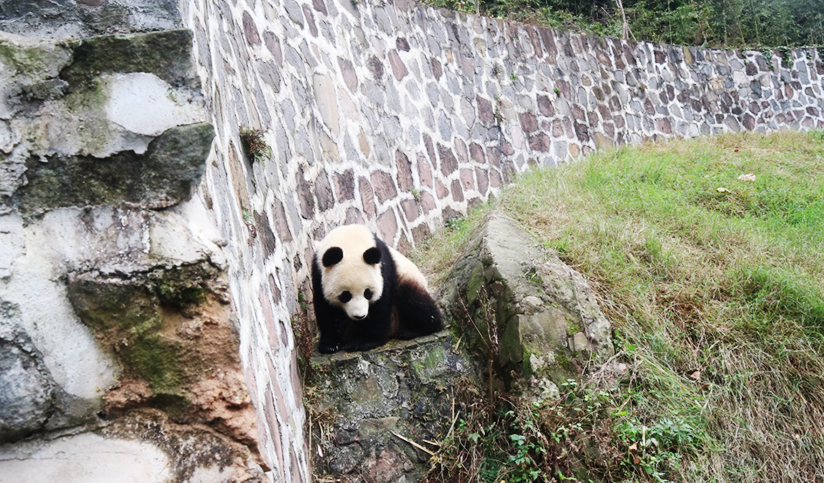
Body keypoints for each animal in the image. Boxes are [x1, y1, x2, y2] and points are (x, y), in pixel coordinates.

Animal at [312, 225, 444, 354]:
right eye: (345, 295)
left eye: (368, 293)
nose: (360, 316)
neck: (349, 240)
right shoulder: (318, 273)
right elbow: (324, 307)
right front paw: (330, 345)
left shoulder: (383, 269)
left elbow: (380, 304)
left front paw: (364, 342)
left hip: (405, 280)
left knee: (413, 298)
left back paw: (414, 330)